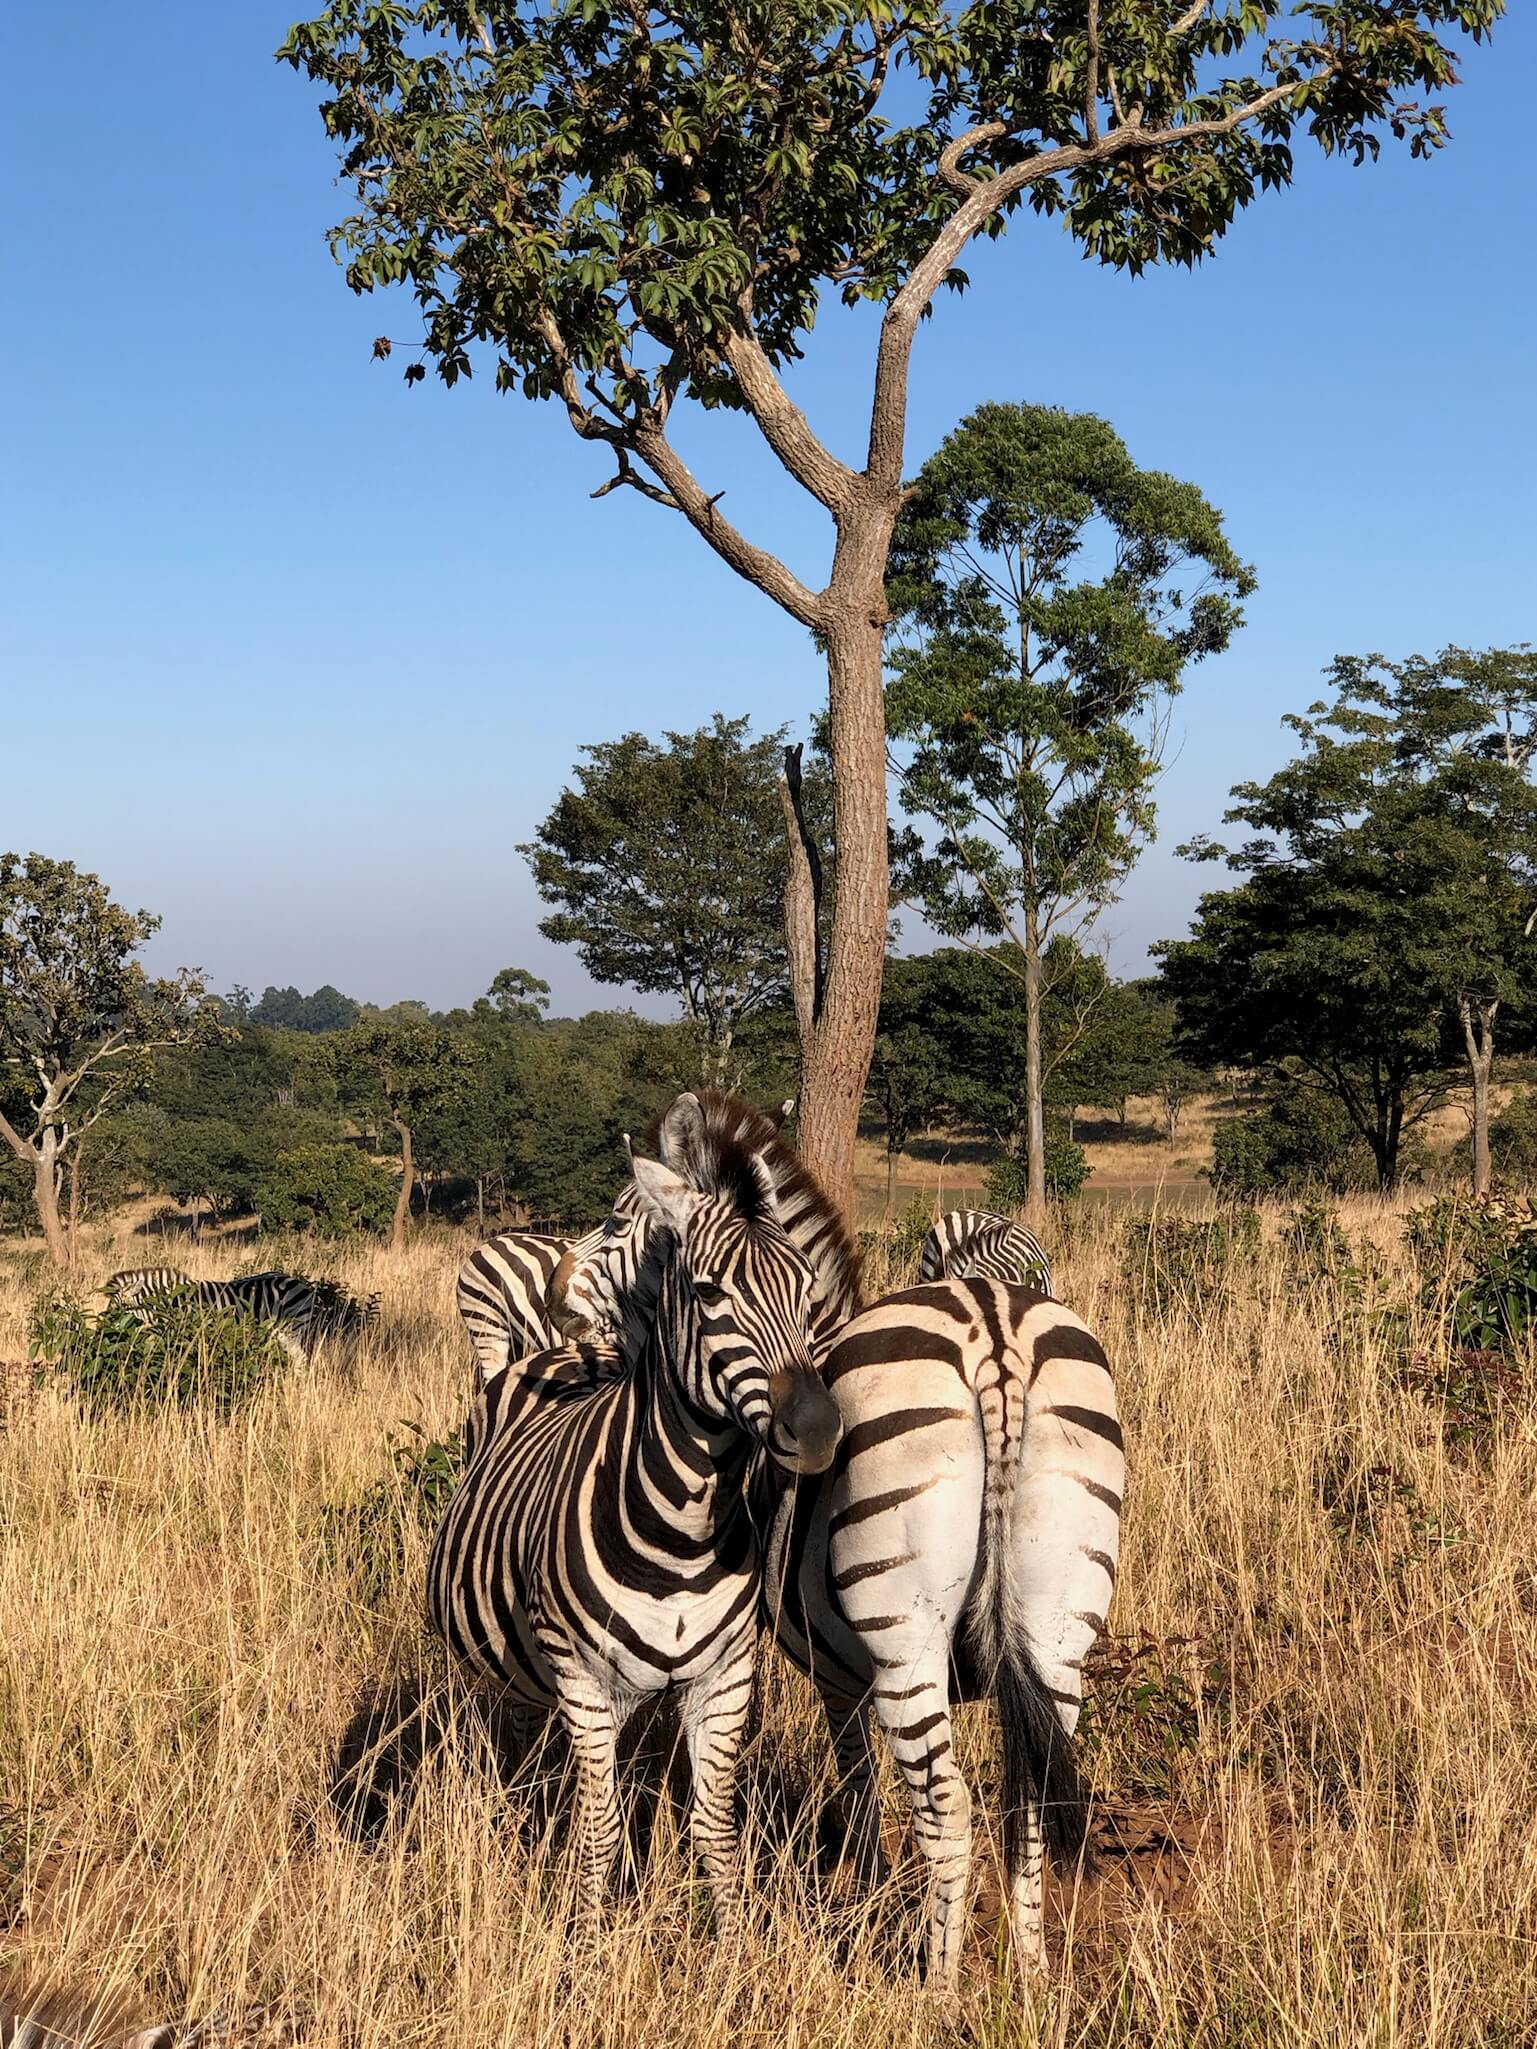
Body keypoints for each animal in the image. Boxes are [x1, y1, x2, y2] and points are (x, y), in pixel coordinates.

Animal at [103, 1268, 380, 1363]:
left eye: (119, 1309)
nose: (105, 1335)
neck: (175, 1303)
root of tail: (302, 1284)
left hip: (293, 1328)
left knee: (301, 1360)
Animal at [427, 1094, 842, 1935]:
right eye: (709, 1292)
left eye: (808, 1292)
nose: (817, 1429)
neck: (679, 1535)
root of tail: (563, 1351)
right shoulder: (583, 1681)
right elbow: (598, 1830)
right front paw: (584, 1944)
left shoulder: (723, 1678)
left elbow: (713, 1826)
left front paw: (732, 1945)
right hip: (495, 1664)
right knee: (502, 1741)